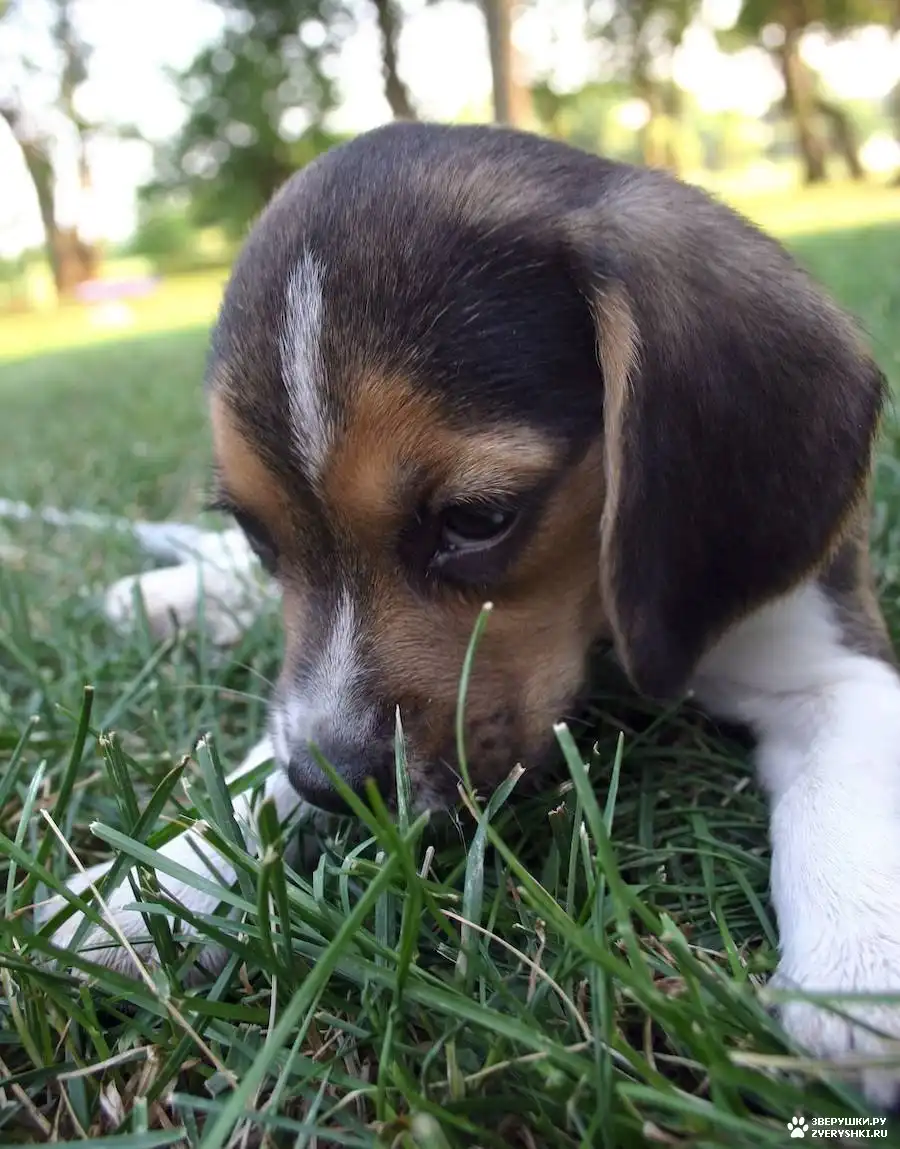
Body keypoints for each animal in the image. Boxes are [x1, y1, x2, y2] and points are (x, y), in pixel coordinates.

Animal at [42, 122, 900, 1106]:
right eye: (260, 534)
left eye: (478, 519)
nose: (328, 784)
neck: (596, 625)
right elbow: (255, 774)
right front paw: (144, 888)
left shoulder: (834, 665)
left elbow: (840, 790)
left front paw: (859, 972)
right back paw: (172, 594)